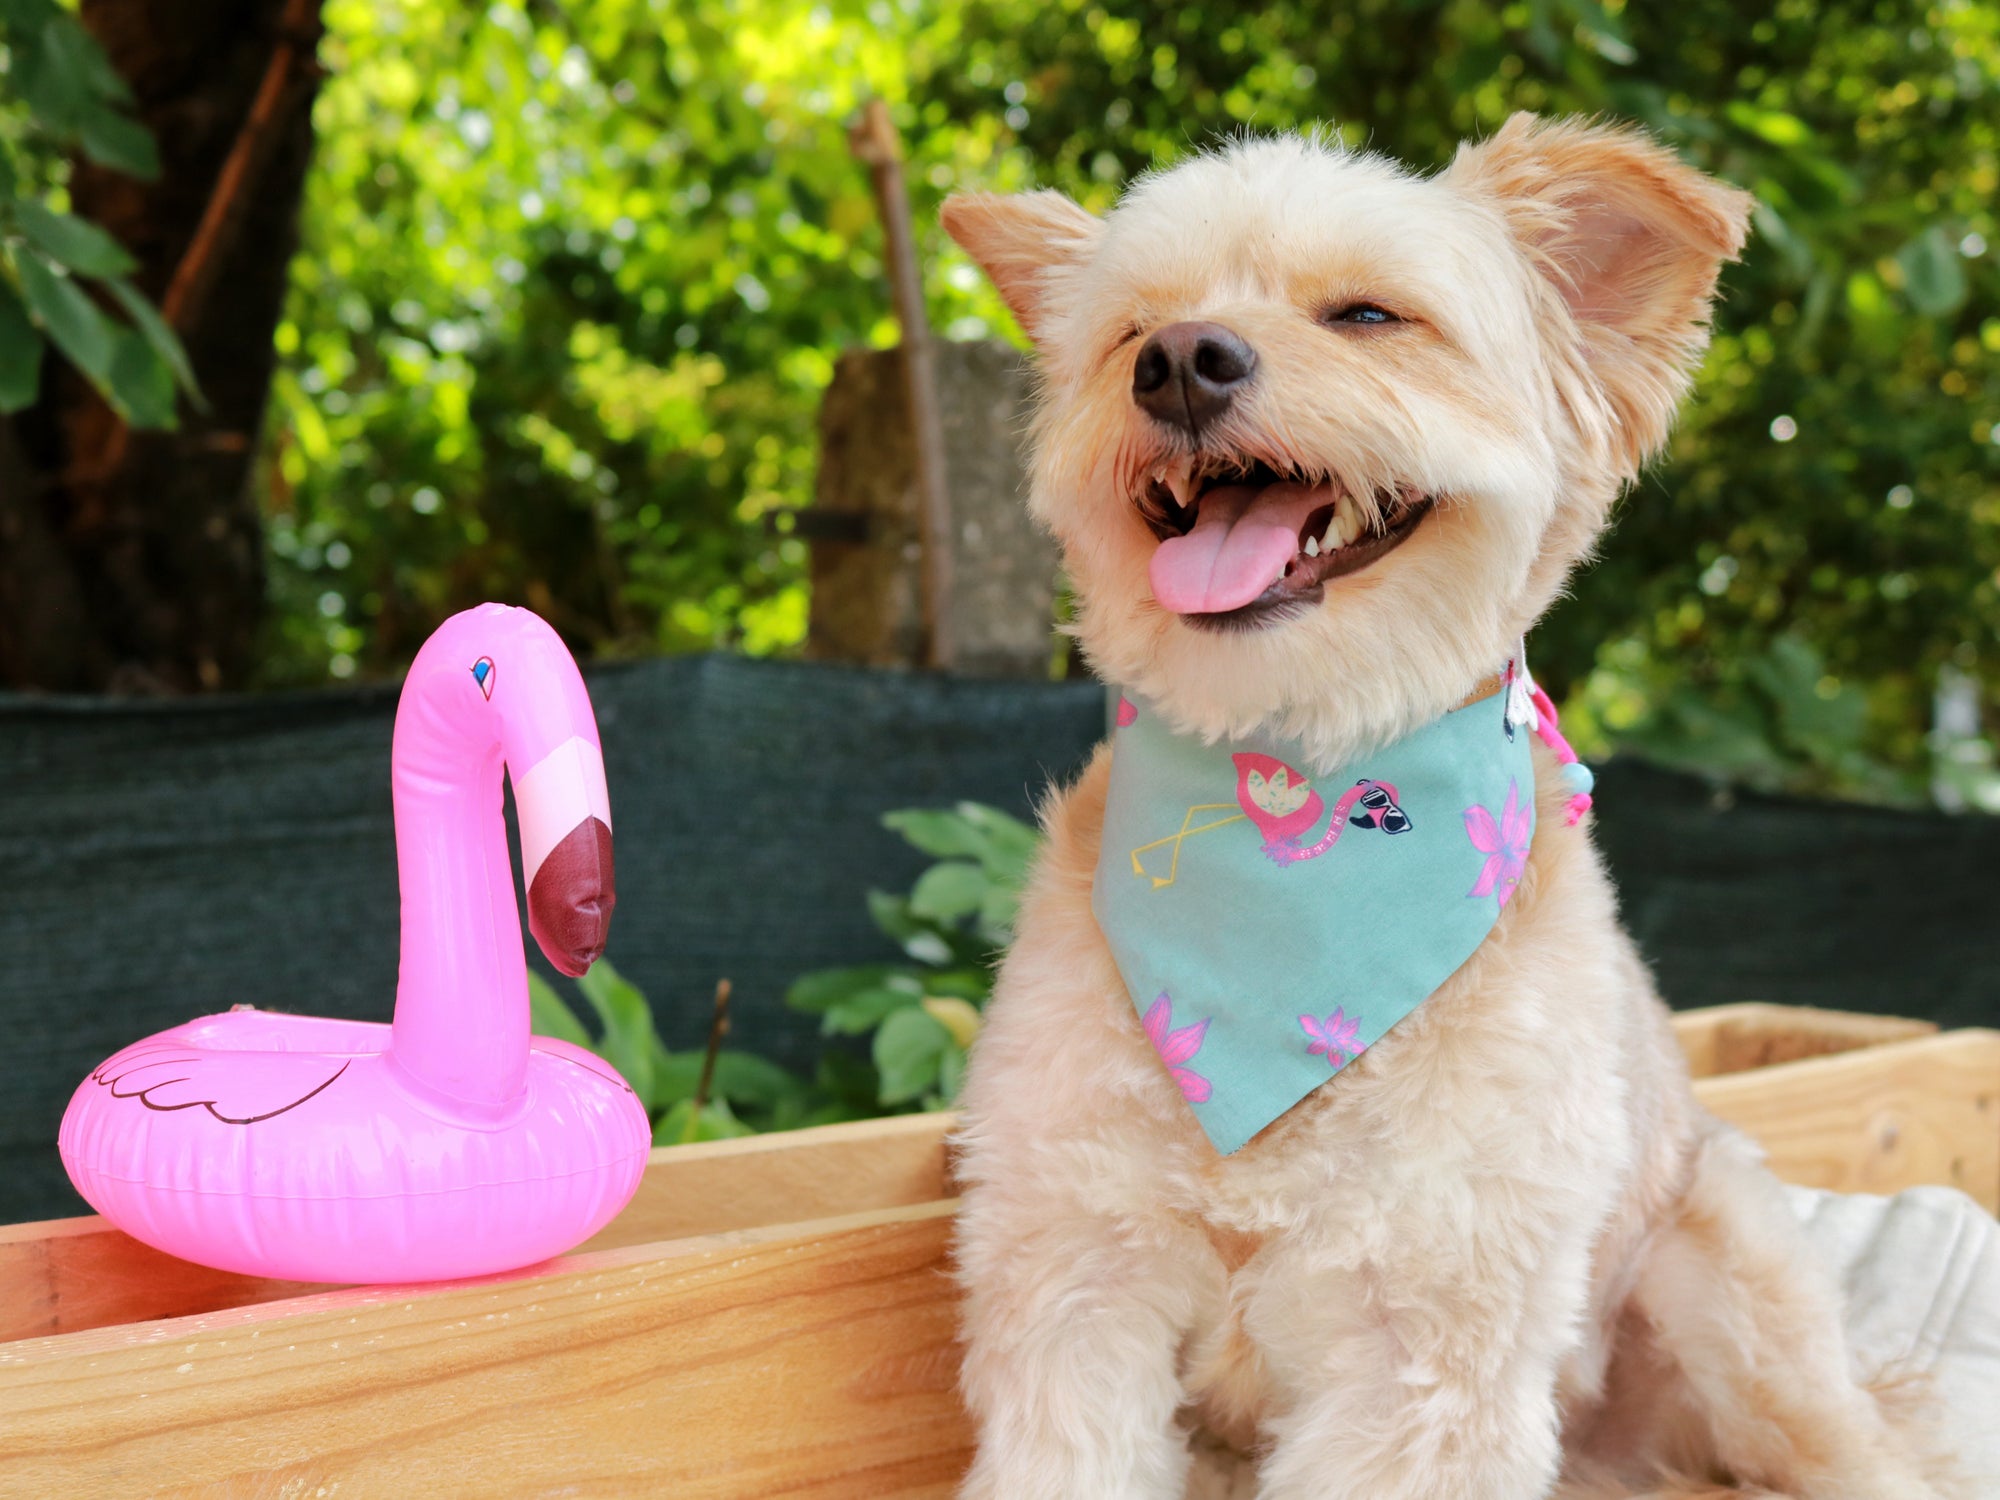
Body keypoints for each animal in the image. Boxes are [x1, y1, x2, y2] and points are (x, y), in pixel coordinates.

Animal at [944, 117, 1960, 1500]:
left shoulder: (1422, 1353)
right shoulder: (1071, 1287)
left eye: (1369, 315)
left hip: (1735, 1291)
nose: (1180, 362)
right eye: (1128, 334)